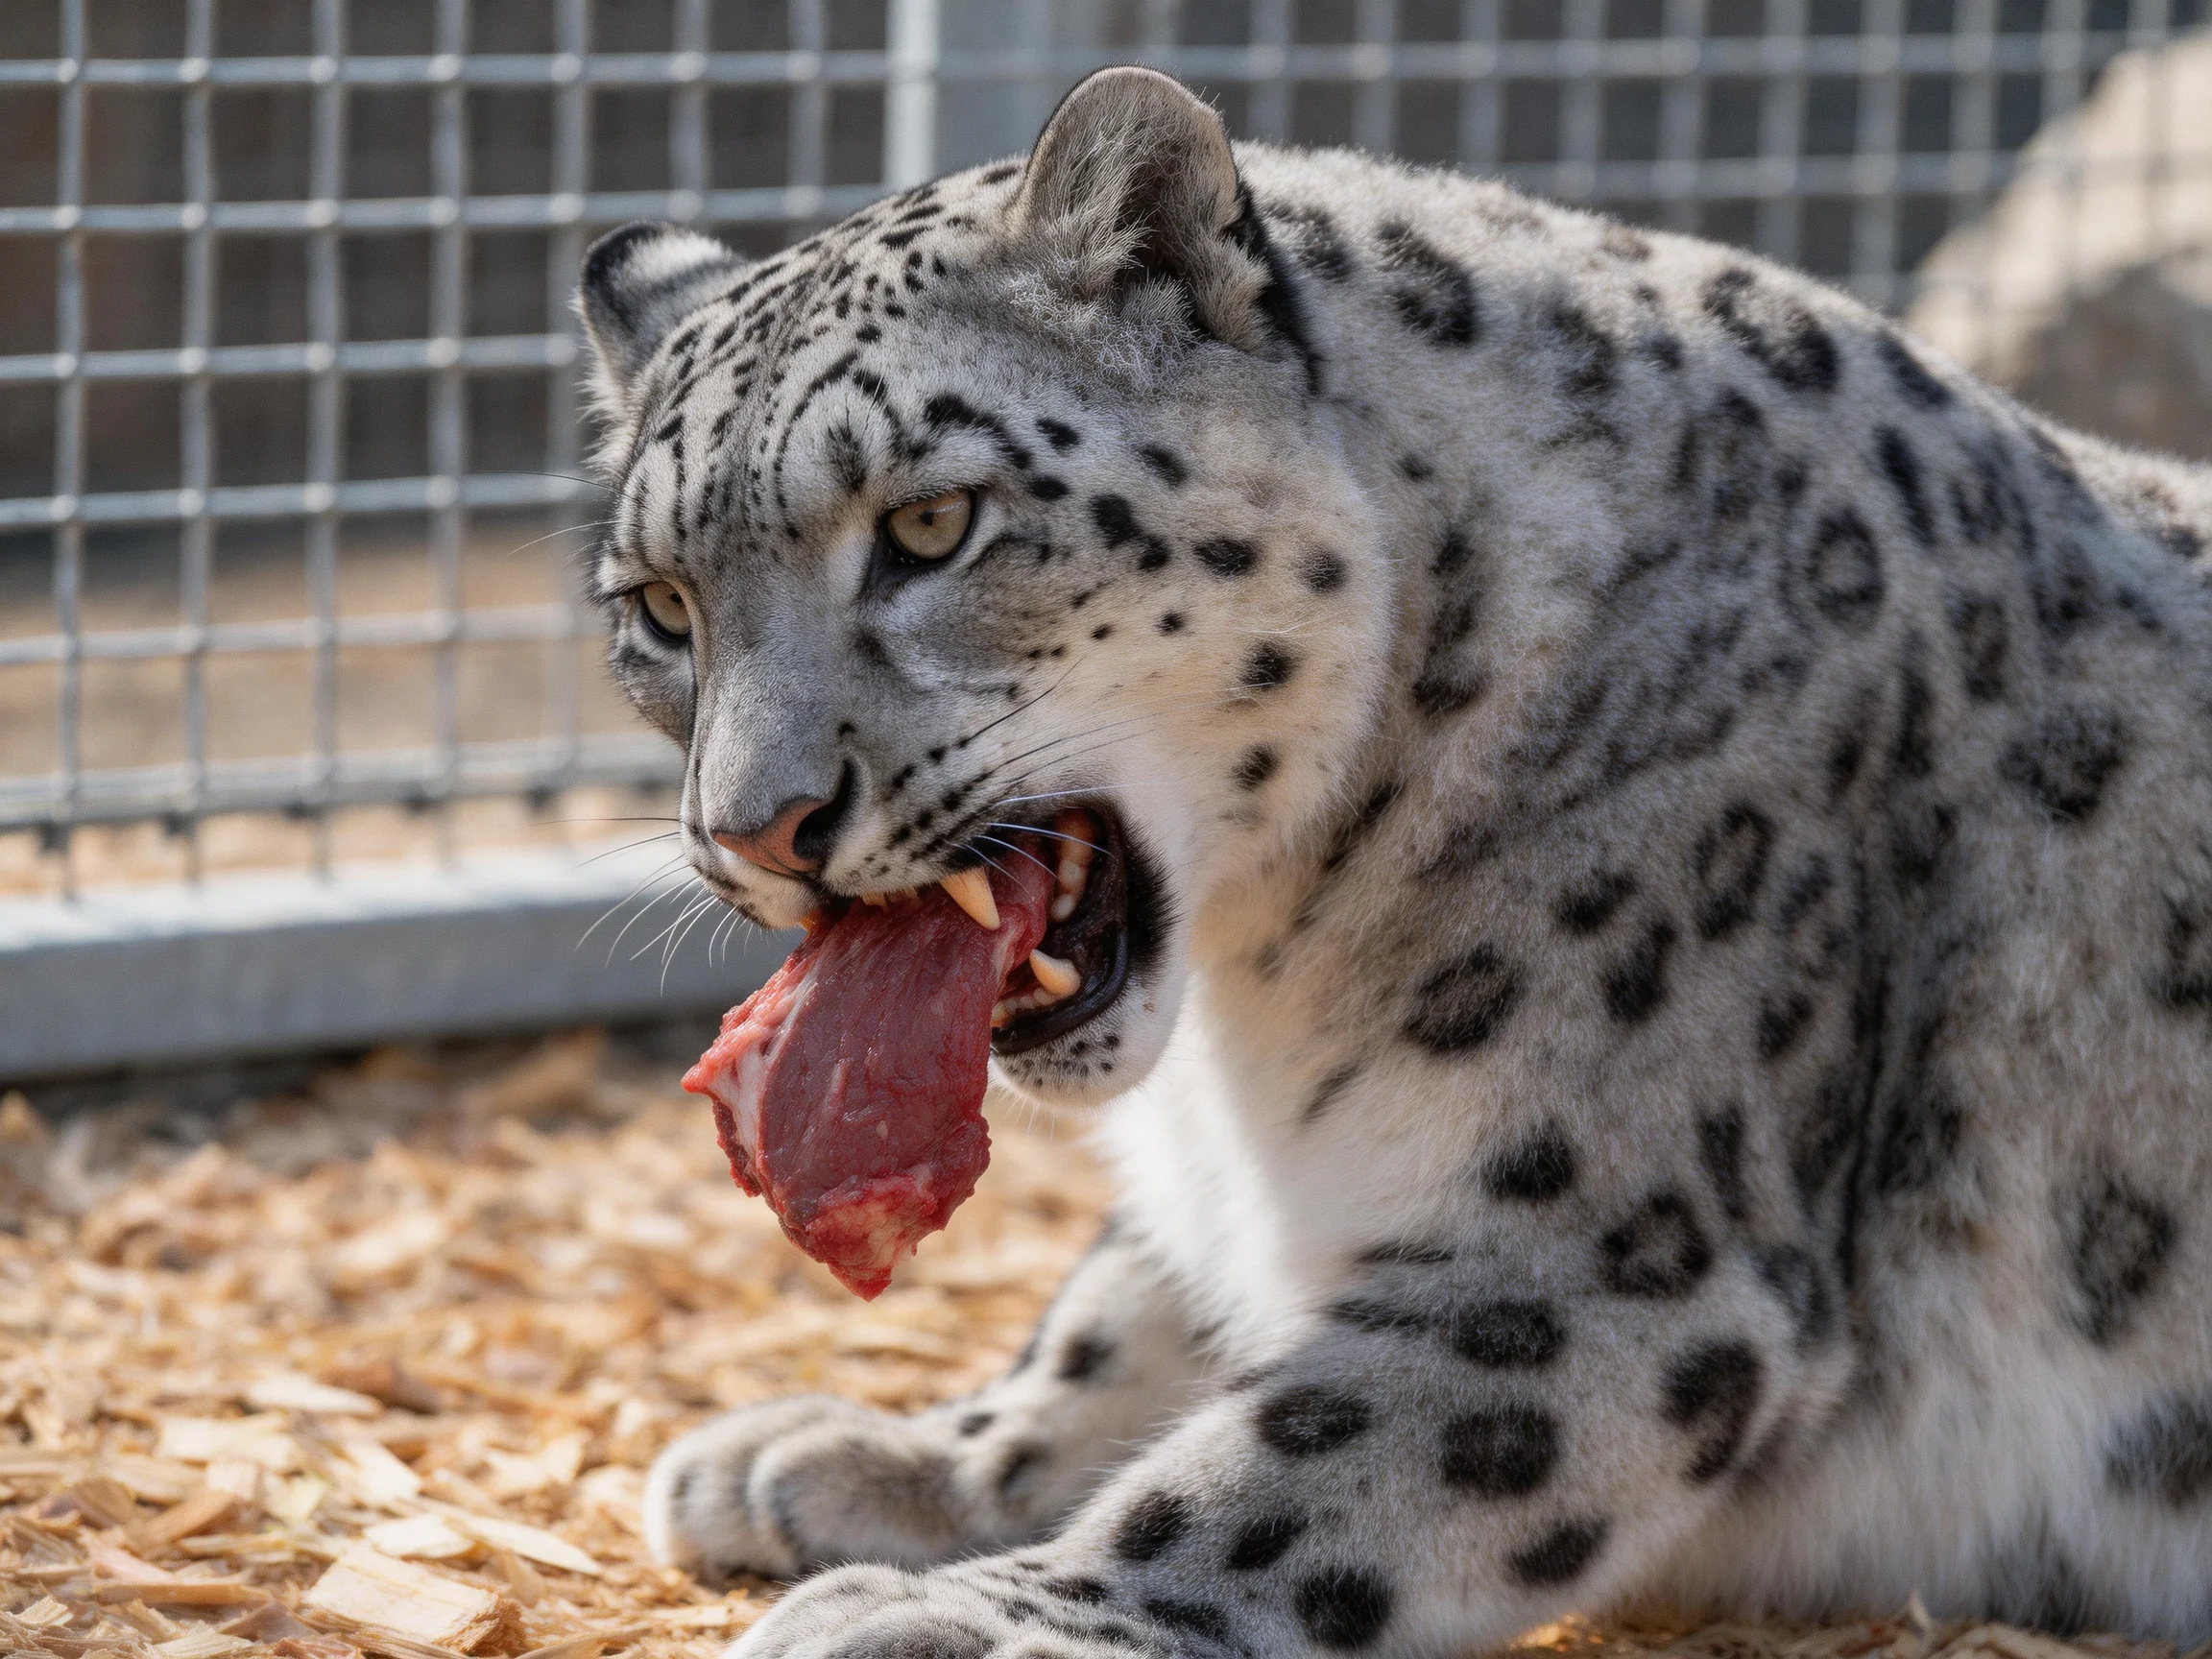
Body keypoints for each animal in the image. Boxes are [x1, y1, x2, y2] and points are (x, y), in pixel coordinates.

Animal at [576, 66, 2212, 1659]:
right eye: (659, 607)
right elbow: (1124, 1305)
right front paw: (873, 1458)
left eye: (930, 521)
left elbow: (1293, 1466)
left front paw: (947, 1614)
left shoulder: (1601, 1244)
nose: (752, 832)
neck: (1257, 1005)